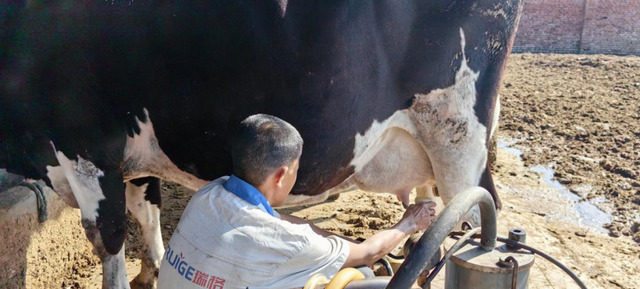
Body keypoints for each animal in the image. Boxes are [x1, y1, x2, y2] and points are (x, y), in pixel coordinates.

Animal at [0, 1, 524, 286]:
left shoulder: (84, 145)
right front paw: (152, 270)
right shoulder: (134, 154)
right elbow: (147, 213)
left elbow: (108, 238)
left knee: (471, 219)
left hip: (456, 137)